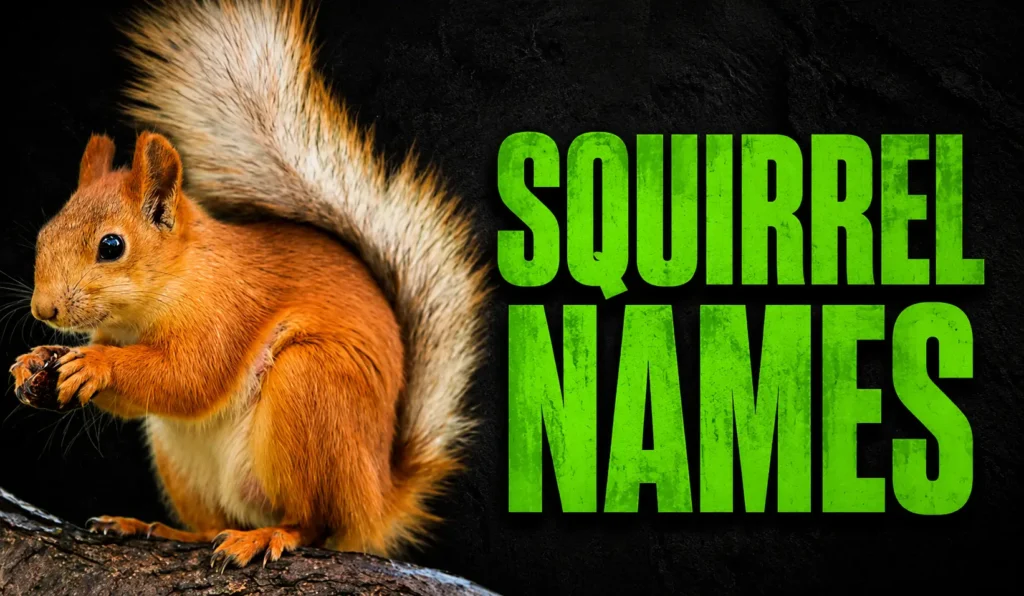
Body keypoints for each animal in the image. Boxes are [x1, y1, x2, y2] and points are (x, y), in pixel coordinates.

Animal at [9, 0, 487, 569]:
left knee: (315, 523)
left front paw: (96, 364)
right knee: (214, 522)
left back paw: (269, 534)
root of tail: (376, 500)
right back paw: (156, 528)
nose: (44, 310)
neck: (170, 287)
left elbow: (188, 377)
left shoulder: (227, 312)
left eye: (111, 246)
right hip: (182, 460)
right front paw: (34, 362)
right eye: (44, 233)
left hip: (311, 386)